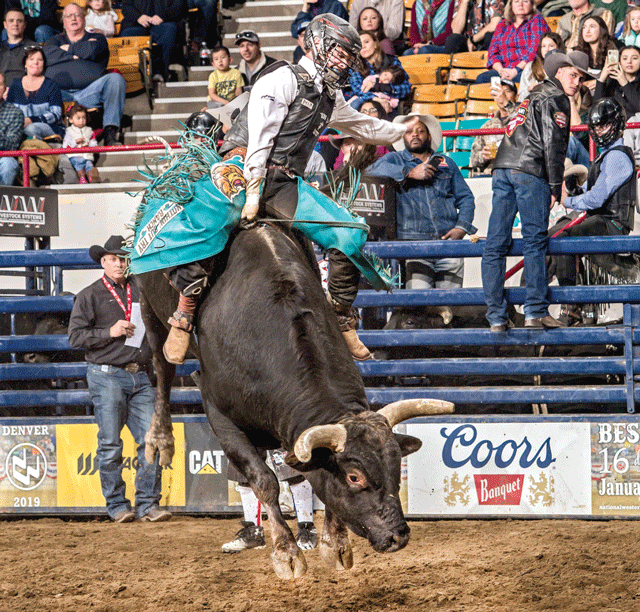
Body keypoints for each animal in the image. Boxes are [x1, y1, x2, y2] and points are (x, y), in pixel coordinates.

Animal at [136, 222, 453, 579]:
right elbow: (264, 481)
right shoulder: (220, 415)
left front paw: (335, 543)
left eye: (395, 465)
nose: (398, 535)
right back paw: (161, 438)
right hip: (148, 307)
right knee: (162, 366)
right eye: (354, 476)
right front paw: (286, 553)